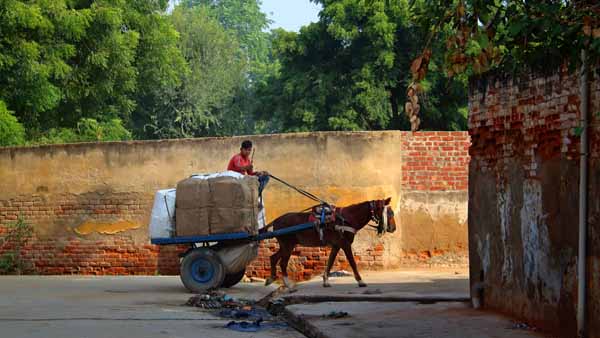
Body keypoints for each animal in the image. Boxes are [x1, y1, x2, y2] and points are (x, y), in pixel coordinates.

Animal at [264, 198, 396, 290]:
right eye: (389, 213)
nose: (393, 228)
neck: (346, 219)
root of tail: (276, 221)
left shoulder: (336, 245)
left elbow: (331, 261)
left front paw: (326, 281)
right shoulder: (345, 244)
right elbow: (352, 263)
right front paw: (360, 281)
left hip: (286, 245)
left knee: (273, 257)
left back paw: (271, 278)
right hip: (288, 245)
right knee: (282, 263)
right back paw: (288, 284)